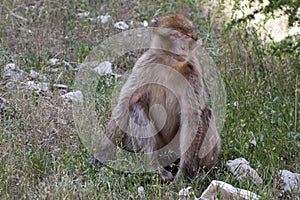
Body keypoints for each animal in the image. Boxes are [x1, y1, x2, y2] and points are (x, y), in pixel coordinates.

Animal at [95, 14, 221, 183]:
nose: (183, 48)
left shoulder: (193, 72)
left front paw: (183, 176)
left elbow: (192, 116)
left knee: (205, 114)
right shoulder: (145, 64)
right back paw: (156, 168)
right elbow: (126, 102)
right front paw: (101, 153)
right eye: (175, 36)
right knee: (136, 107)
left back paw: (200, 173)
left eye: (187, 37)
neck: (170, 63)